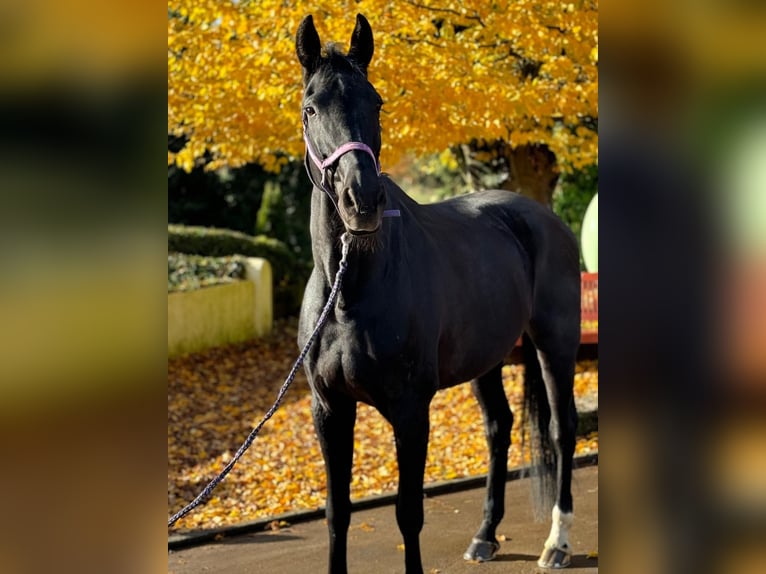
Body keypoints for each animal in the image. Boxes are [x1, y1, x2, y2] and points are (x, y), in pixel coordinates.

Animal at [296, 14, 580, 574]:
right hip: (489, 358)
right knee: (499, 427)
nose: (362, 199)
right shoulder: (329, 408)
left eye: (376, 102)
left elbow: (409, 513)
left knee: (563, 430)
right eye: (311, 107)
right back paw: (485, 536)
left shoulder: (410, 410)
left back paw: (557, 543)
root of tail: (540, 216)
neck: (349, 293)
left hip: (555, 346)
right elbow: (337, 513)